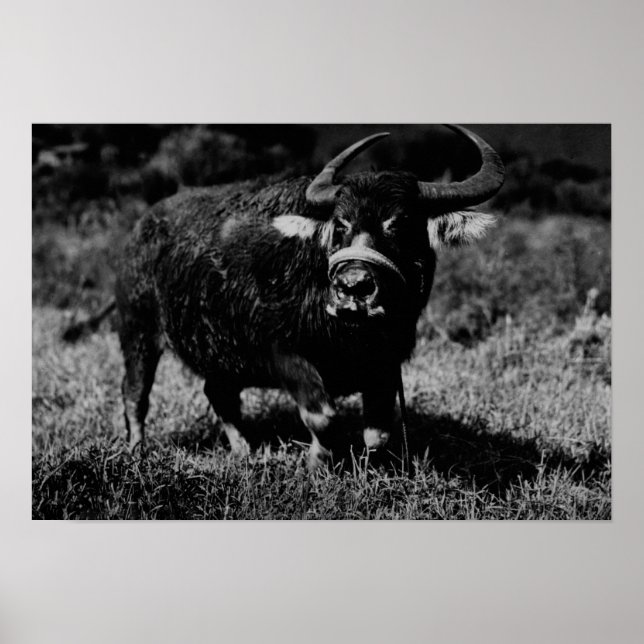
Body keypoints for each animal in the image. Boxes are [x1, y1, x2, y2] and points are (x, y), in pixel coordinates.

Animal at [67, 125, 504, 468]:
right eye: (341, 225)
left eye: (400, 225)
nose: (354, 287)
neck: (351, 334)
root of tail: (137, 233)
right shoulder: (284, 353)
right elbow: (323, 417)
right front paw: (317, 462)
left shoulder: (384, 365)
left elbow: (378, 434)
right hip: (138, 331)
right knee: (135, 394)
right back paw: (137, 451)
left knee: (219, 395)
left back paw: (244, 451)